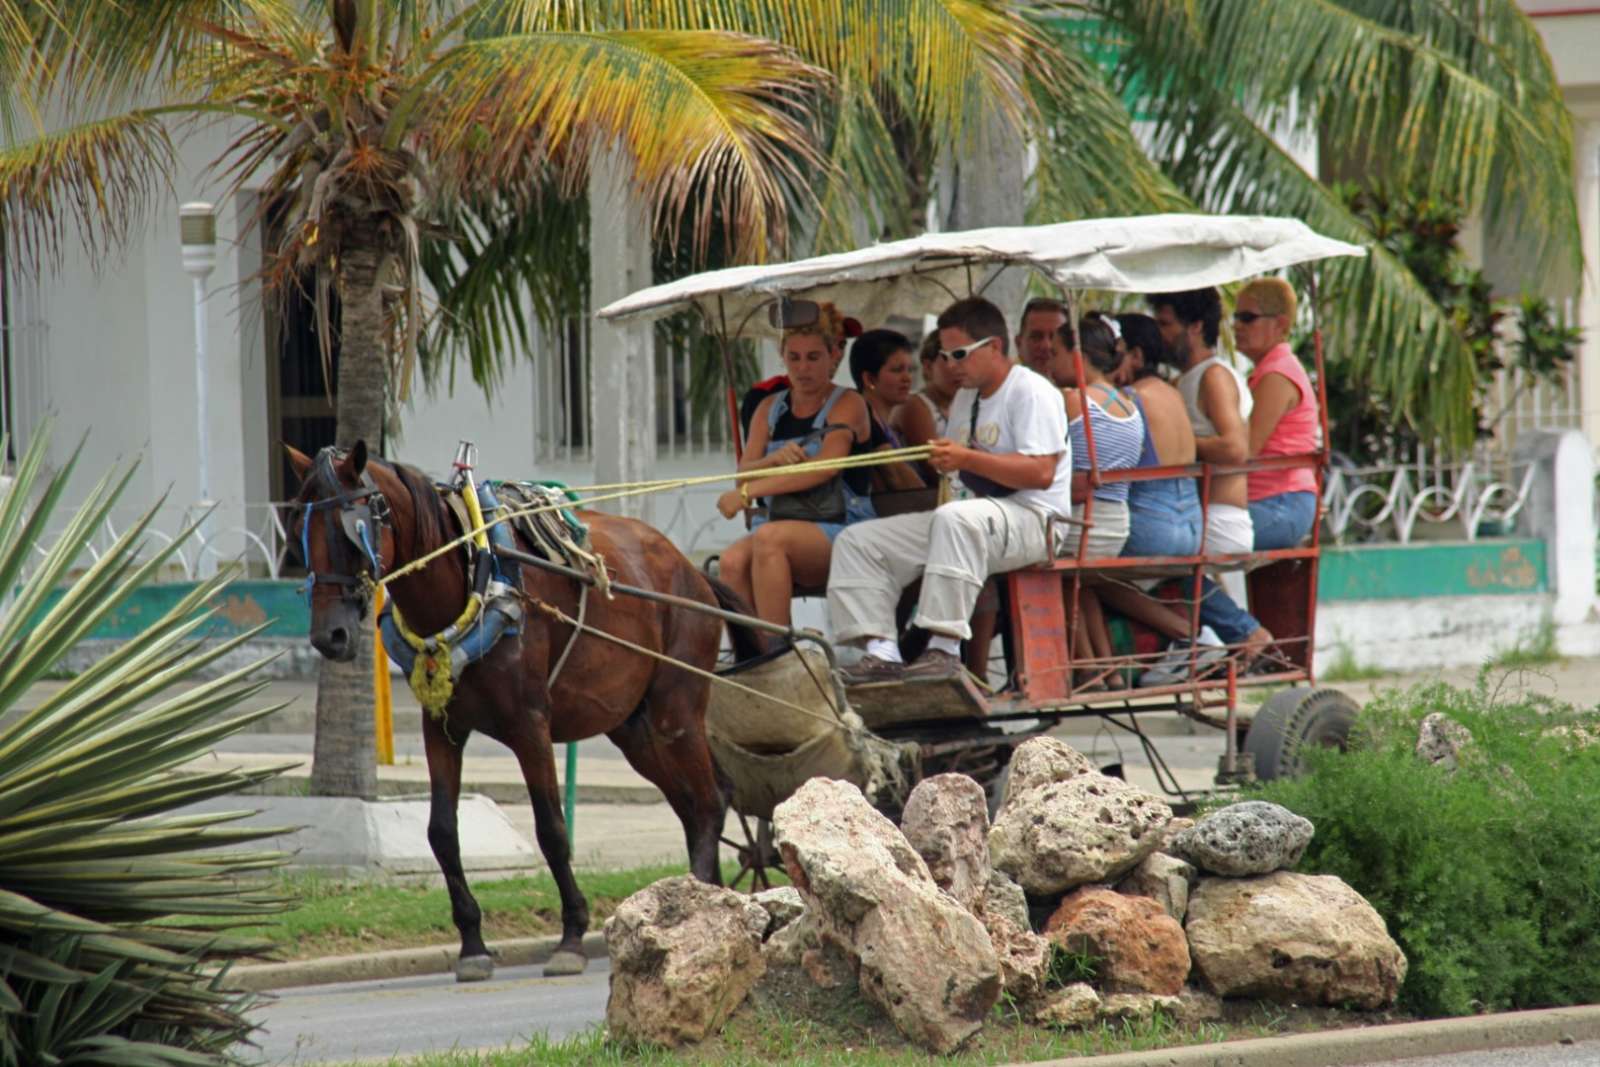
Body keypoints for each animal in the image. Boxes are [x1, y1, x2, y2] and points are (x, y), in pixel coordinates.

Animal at [289, 444, 768, 985]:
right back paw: (702, 897)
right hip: (634, 729)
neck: (469, 578)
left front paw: (572, 937)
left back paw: (703, 902)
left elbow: (552, 831)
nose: (329, 637)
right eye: (301, 530)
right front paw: (473, 944)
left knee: (708, 801)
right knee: (698, 801)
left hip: (677, 709)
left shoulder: (530, 726)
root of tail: (692, 572)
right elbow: (441, 832)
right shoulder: (442, 728)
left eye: (352, 533)